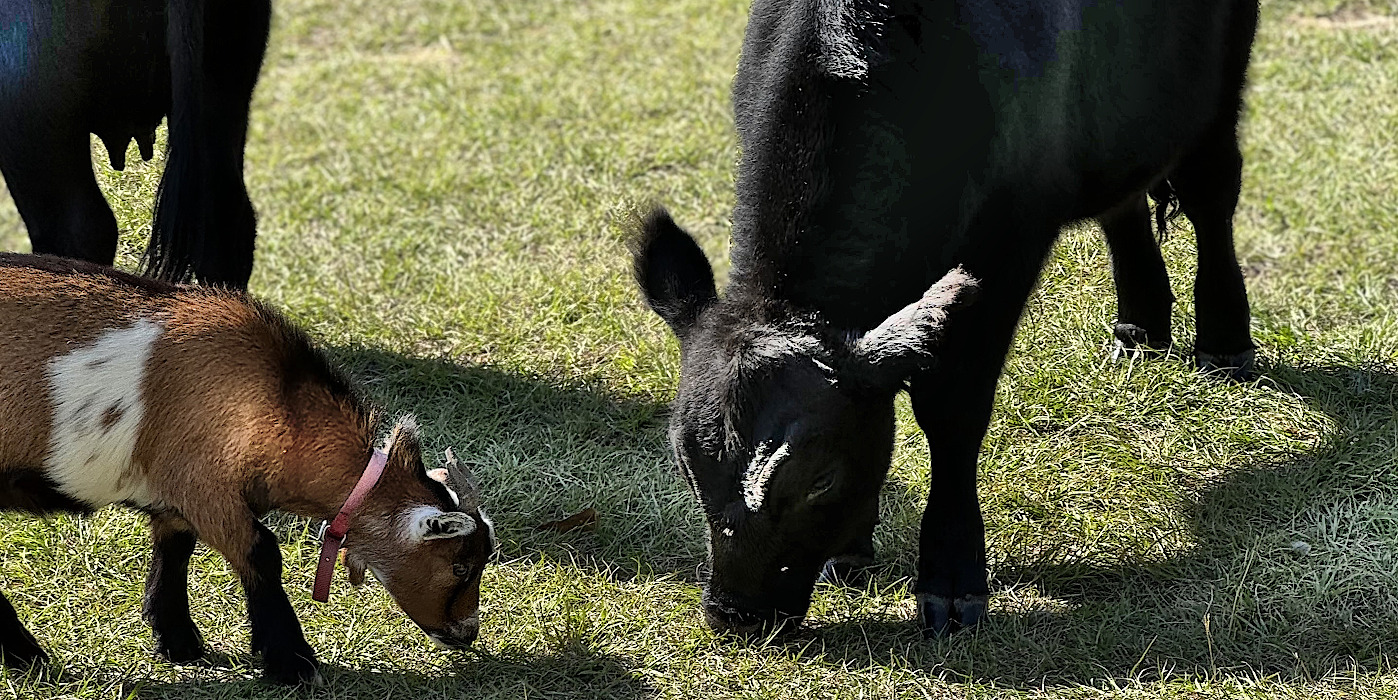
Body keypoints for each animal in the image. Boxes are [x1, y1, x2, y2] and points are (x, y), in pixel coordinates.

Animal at [0, 252, 497, 681]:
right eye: (460, 567)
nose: (466, 633)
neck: (277, 407)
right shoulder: (206, 487)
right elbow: (262, 551)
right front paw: (293, 662)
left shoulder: (176, 496)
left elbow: (175, 548)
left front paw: (178, 642)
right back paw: (28, 658)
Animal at [629, 0, 1263, 639]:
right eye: (689, 470)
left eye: (819, 480)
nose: (736, 614)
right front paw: (850, 550)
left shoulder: (1008, 243)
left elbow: (951, 410)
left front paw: (951, 577)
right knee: (1124, 201)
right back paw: (1140, 332)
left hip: (1219, 83)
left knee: (1212, 189)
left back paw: (1225, 341)